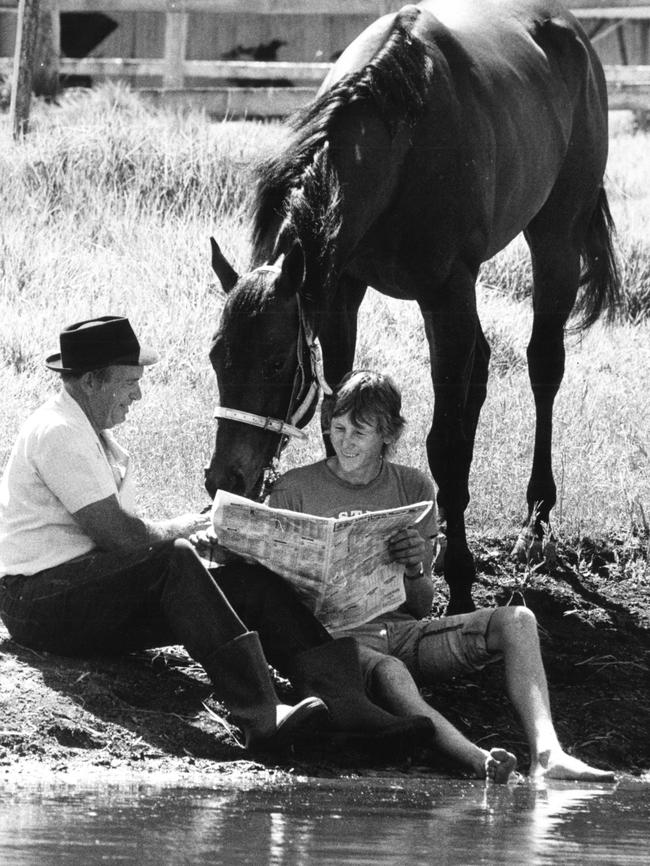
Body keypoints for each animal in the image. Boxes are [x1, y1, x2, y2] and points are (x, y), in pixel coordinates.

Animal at [204, 0, 616, 612]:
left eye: (277, 361)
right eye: (216, 356)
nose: (222, 479)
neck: (400, 148)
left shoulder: (446, 292)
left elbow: (443, 445)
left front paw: (463, 582)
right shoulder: (340, 294)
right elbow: (338, 415)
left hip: (556, 240)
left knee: (543, 366)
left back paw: (535, 523)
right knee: (481, 367)